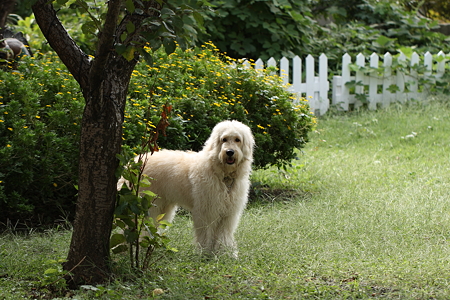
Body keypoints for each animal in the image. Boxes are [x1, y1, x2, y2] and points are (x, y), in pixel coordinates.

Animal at [118, 119, 255, 255]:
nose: (230, 152)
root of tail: (133, 162)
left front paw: (225, 253)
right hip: (145, 205)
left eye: (237, 139)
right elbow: (206, 233)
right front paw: (204, 252)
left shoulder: (228, 214)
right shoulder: (206, 211)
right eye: (224, 139)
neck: (223, 175)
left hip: (163, 206)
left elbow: (224, 234)